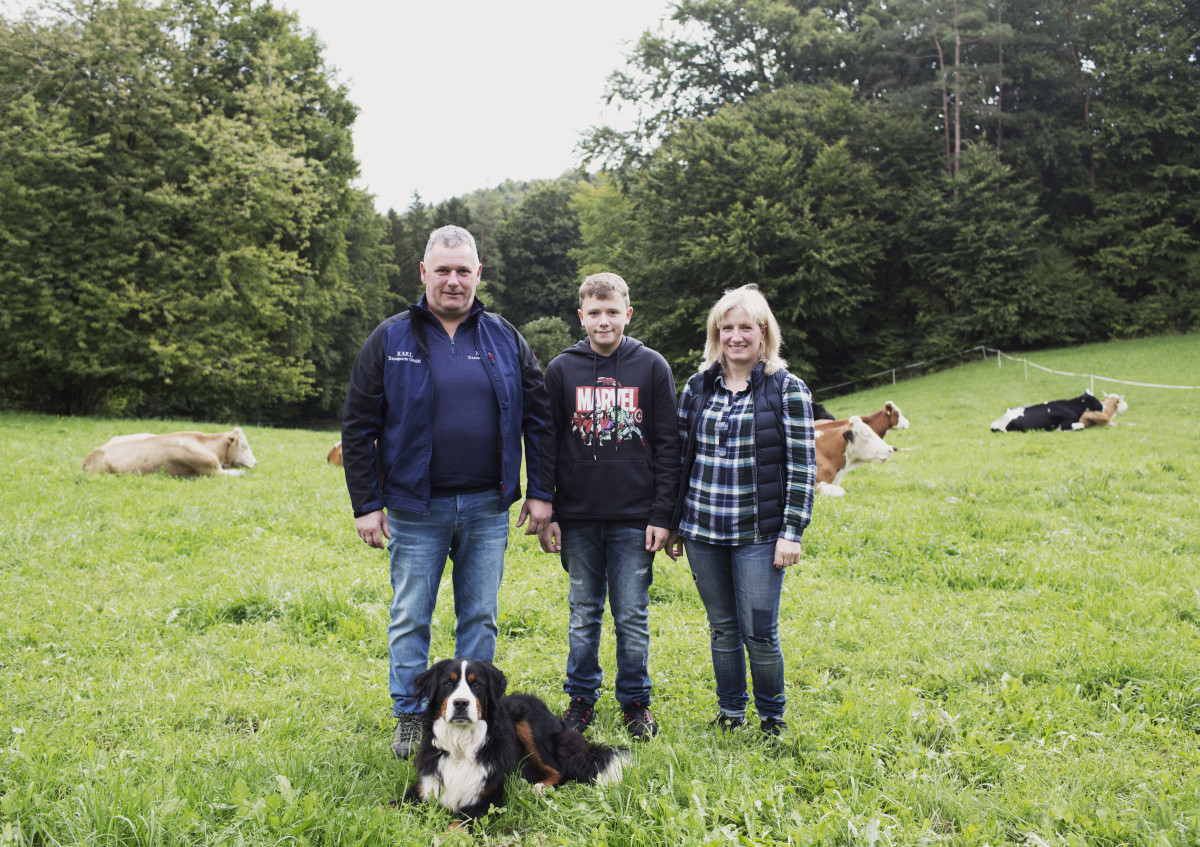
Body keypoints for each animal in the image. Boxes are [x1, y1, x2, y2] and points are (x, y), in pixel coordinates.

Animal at [403, 657, 628, 815]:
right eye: (447, 684)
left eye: (476, 685)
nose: (460, 703)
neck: (461, 745)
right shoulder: (422, 789)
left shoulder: (487, 800)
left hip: (527, 722)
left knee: (560, 770)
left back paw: (538, 788)